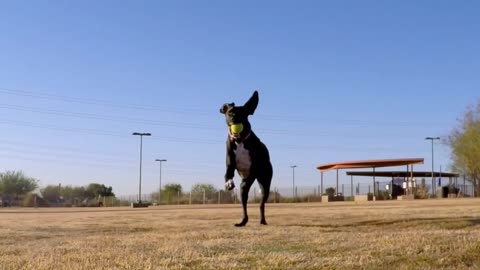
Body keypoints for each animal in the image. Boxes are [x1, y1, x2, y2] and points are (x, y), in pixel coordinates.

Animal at [219, 90, 272, 226]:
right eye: (230, 112)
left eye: (243, 114)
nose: (234, 118)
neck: (240, 140)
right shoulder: (230, 161)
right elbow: (228, 173)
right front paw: (228, 183)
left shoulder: (253, 169)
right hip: (244, 192)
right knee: (244, 204)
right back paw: (243, 221)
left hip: (265, 183)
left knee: (261, 204)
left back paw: (262, 220)